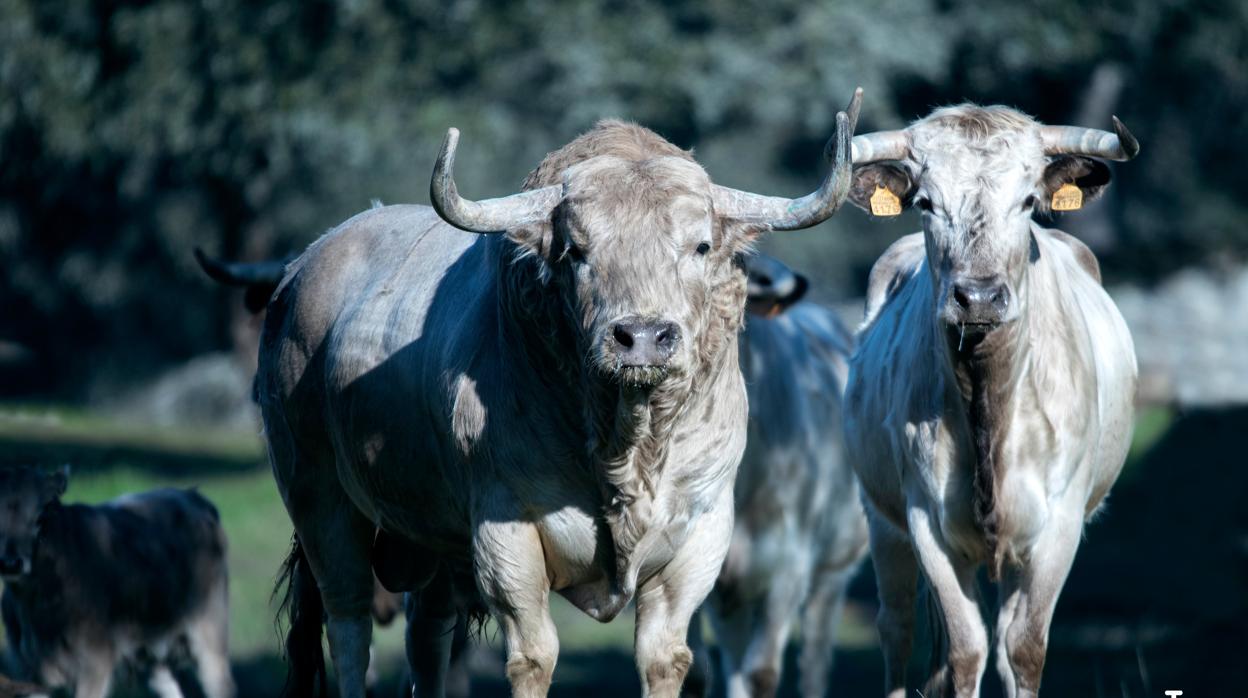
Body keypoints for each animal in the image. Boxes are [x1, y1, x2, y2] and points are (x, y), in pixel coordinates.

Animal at [0, 464, 234, 698]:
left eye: (41, 516)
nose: (11, 563)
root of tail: (193, 496)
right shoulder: (27, 672)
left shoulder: (96, 662)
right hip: (151, 650)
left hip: (211, 631)